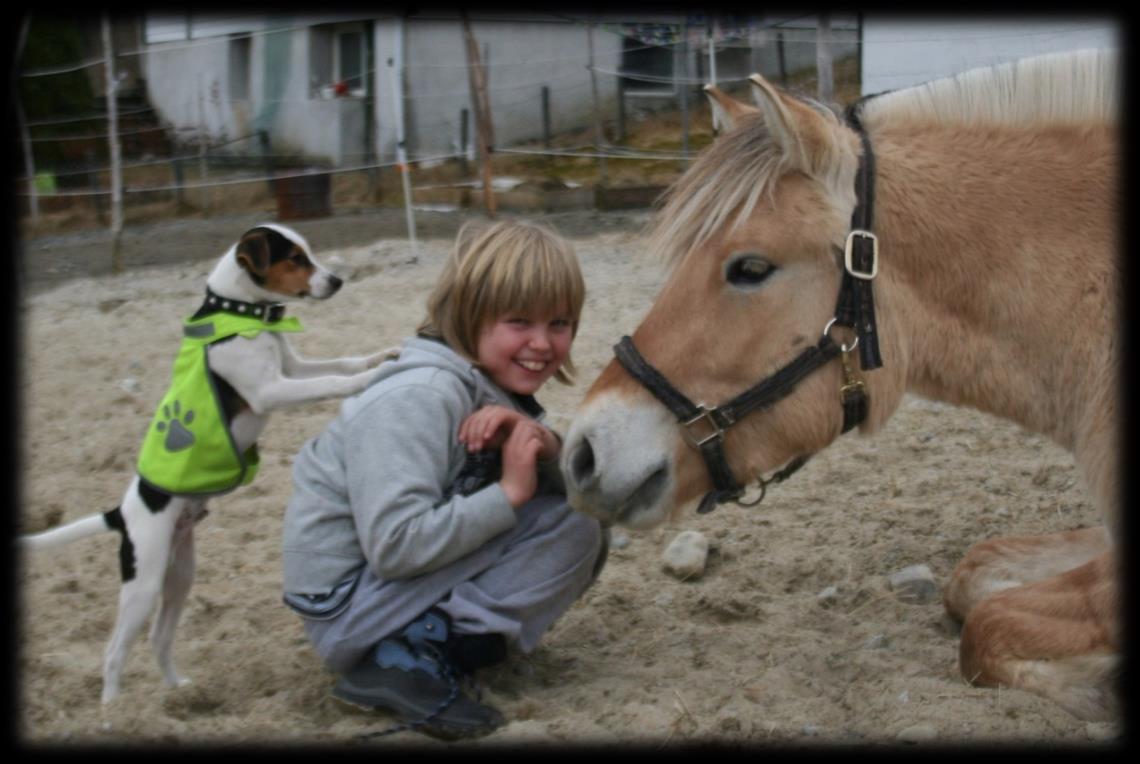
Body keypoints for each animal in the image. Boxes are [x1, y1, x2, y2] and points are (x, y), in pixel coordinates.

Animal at [20, 223, 396, 706]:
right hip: (143, 584)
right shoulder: (272, 390)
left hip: (179, 574)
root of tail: (122, 513)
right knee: (114, 651)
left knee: (159, 638)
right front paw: (372, 376)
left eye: (309, 254)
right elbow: (334, 379)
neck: (247, 316)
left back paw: (177, 691)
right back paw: (112, 709)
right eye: (295, 259)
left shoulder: (291, 369)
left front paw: (380, 357)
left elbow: (340, 362)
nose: (336, 281)